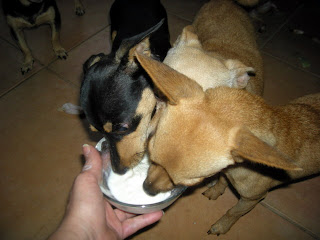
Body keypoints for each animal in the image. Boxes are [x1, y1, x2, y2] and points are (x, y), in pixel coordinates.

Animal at [136, 52, 320, 234]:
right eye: (151, 156)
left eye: (191, 182)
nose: (146, 188)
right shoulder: (226, 172)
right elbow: (222, 180)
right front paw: (216, 191)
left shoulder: (252, 199)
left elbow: (234, 212)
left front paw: (222, 225)